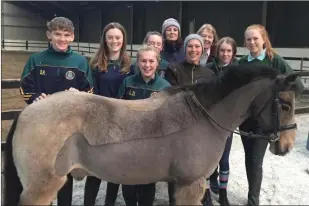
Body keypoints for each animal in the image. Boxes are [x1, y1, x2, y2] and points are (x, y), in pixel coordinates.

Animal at [3, 63, 300, 205]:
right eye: (285, 105)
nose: (286, 146)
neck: (204, 116)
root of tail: (27, 113)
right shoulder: (190, 185)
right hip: (41, 189)